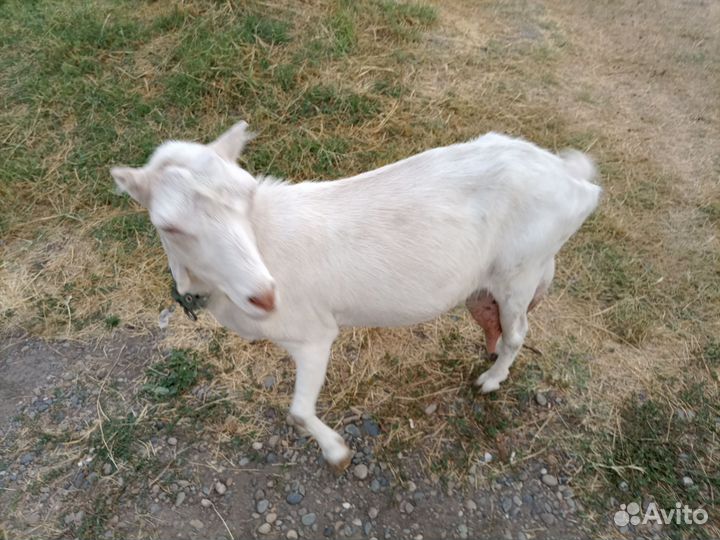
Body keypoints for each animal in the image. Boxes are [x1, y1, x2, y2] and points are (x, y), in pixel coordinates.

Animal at [111, 121, 600, 470]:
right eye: (169, 225)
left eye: (247, 195)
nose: (265, 296)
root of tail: (577, 182)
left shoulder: (314, 334)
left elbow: (299, 411)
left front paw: (337, 452)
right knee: (494, 318)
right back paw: (490, 350)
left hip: (521, 269)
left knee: (519, 330)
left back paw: (492, 379)